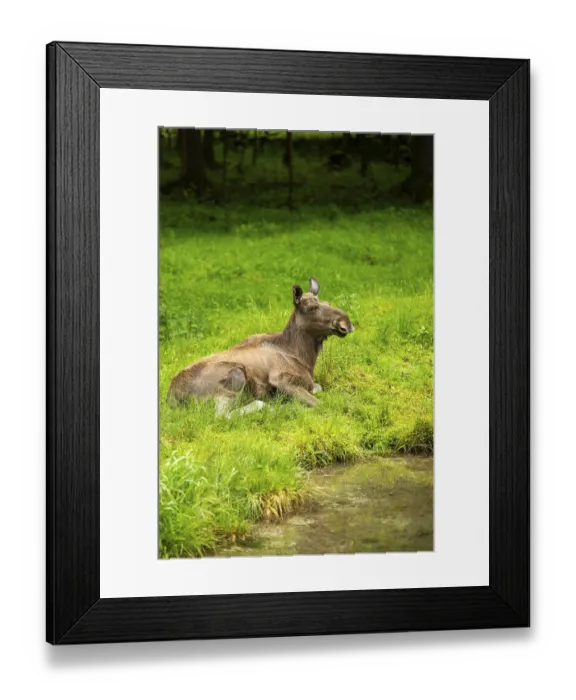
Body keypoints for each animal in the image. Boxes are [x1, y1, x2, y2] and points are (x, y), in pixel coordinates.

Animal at [167, 278, 355, 417]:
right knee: (223, 415)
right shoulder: (280, 379)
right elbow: (320, 404)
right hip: (234, 376)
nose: (346, 322)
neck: (305, 357)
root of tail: (171, 398)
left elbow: (318, 388)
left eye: (327, 302)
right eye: (310, 307)